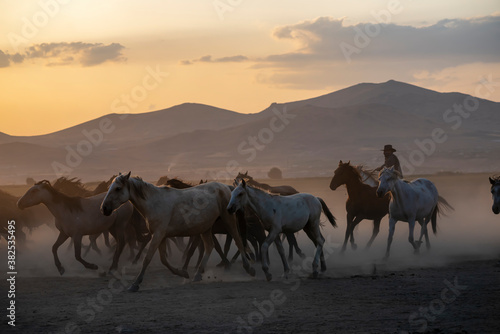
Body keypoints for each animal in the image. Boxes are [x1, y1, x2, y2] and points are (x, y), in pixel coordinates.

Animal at [100, 174, 254, 290]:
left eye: (118, 188)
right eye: (110, 188)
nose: (104, 208)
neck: (153, 203)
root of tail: (226, 187)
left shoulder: (158, 234)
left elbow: (147, 258)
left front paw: (135, 284)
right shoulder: (161, 236)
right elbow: (163, 259)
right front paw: (182, 273)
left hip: (228, 219)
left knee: (238, 240)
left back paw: (249, 268)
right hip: (205, 228)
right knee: (209, 246)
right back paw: (197, 275)